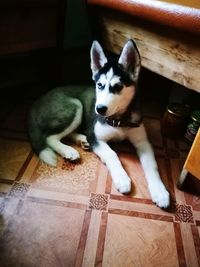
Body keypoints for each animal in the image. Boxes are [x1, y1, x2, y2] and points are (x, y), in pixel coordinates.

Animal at [28, 39, 170, 209]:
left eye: (118, 87)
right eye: (100, 85)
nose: (100, 109)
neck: (119, 120)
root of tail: (37, 100)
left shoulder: (142, 142)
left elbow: (152, 165)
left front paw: (160, 191)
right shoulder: (98, 139)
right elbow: (112, 154)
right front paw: (122, 178)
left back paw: (82, 140)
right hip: (75, 106)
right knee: (50, 137)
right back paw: (69, 150)